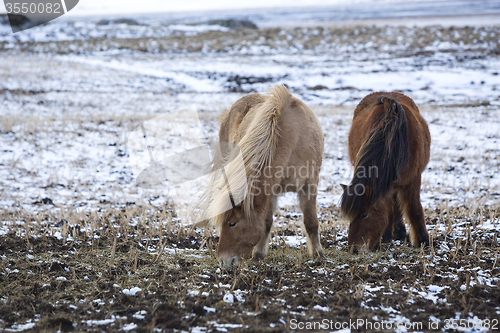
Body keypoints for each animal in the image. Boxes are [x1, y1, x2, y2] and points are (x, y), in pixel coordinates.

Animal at [200, 85, 324, 264]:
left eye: (232, 223)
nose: (223, 261)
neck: (295, 141)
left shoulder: (309, 185)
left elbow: (311, 221)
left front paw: (318, 254)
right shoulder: (271, 190)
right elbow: (266, 223)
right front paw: (258, 254)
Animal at [342, 91, 432, 252]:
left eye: (364, 215)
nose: (353, 249)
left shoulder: (413, 179)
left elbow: (414, 209)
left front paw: (423, 241)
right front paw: (384, 237)